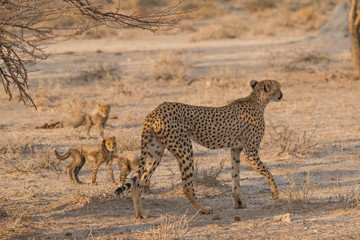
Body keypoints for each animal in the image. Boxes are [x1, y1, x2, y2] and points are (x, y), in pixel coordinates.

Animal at [115, 79, 284, 218]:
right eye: (279, 87)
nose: (282, 95)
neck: (257, 100)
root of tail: (154, 111)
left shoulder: (235, 150)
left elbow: (235, 177)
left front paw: (238, 203)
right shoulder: (250, 152)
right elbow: (268, 173)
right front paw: (276, 194)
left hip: (155, 151)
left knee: (138, 183)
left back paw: (140, 214)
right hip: (184, 148)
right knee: (186, 186)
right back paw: (203, 209)